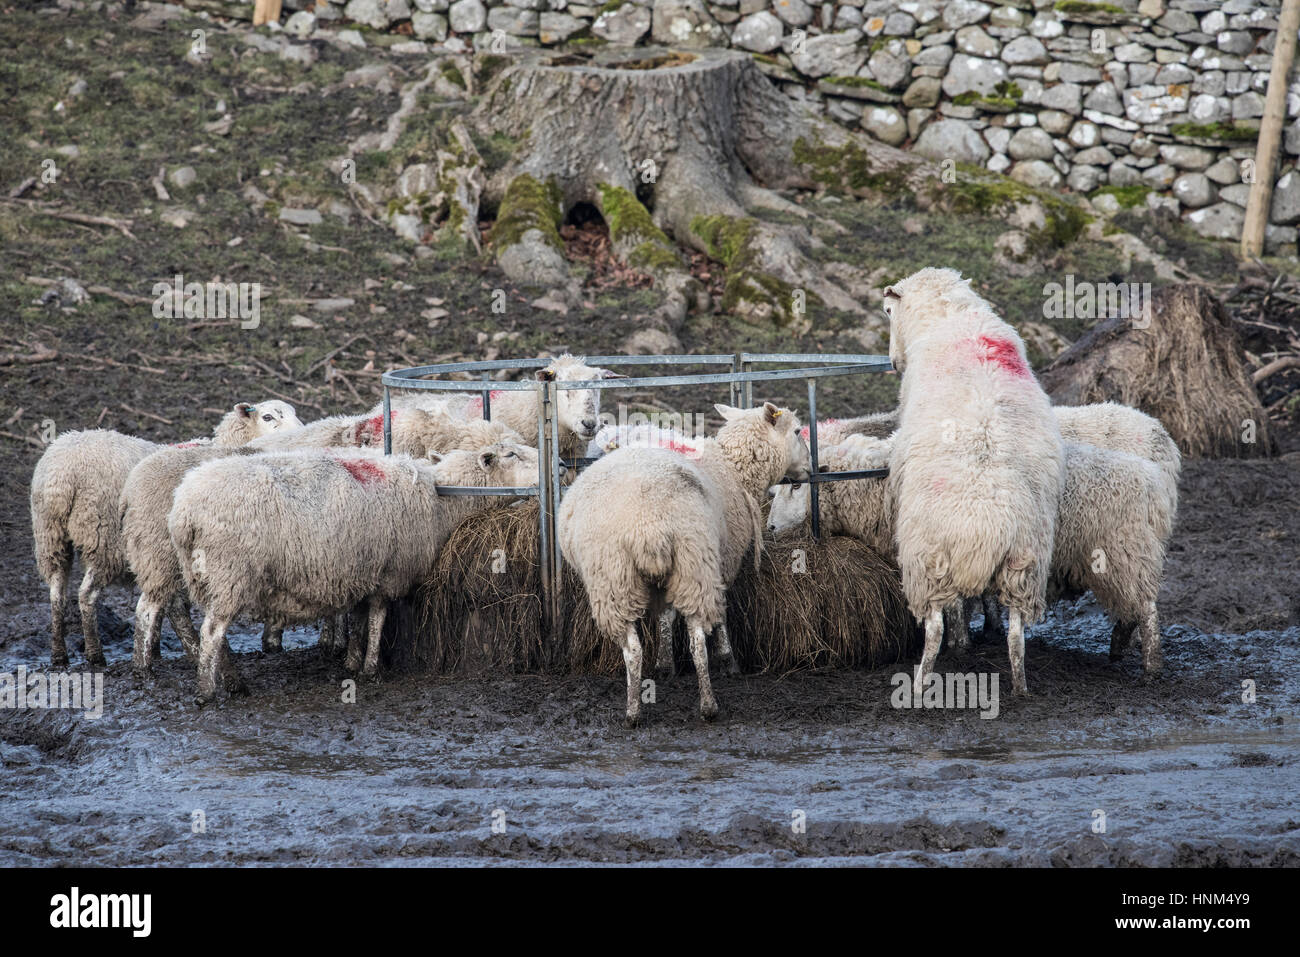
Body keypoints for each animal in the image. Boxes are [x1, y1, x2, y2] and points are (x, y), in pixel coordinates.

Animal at [29, 400, 301, 668]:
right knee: (86, 594)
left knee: (57, 592)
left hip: (50, 535)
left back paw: (59, 654)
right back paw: (96, 654)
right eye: (267, 417)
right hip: (104, 538)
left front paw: (157, 648)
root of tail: (63, 475)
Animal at [169, 443, 539, 703]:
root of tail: (185, 512)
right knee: (212, 632)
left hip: (203, 576)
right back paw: (207, 691)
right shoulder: (388, 572)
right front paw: (371, 668)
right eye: (511, 454)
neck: (443, 499)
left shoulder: (362, 569)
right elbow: (377, 618)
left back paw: (233, 682)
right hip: (230, 572)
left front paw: (351, 662)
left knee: (216, 635)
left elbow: (359, 619)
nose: (552, 465)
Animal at [558, 402, 811, 726]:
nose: (811, 468)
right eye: (797, 431)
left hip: (615, 577)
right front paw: (727, 656)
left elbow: (666, 618)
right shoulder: (724, 559)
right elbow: (723, 609)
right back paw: (708, 705)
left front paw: (666, 664)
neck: (733, 468)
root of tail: (647, 525)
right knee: (697, 642)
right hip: (693, 562)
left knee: (633, 649)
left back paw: (633, 711)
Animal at [884, 267, 1063, 695]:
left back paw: (920, 682)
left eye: (887, 312)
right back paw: (1019, 684)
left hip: (927, 560)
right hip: (1023, 563)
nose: (893, 362)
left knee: (936, 625)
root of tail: (983, 525)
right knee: (1016, 633)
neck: (951, 316)